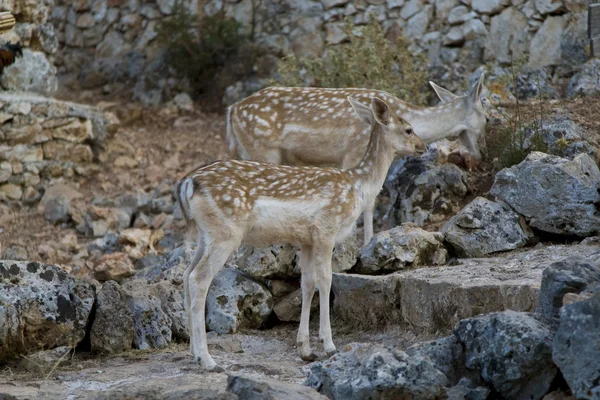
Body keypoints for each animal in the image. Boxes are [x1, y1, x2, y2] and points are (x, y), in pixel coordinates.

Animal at [176, 95, 424, 370]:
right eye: (408, 129)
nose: (422, 146)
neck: (357, 186)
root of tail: (187, 184)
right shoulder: (326, 228)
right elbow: (326, 280)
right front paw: (329, 345)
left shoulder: (306, 239)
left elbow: (307, 283)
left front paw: (305, 349)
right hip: (225, 232)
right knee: (199, 278)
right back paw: (208, 359)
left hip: (205, 234)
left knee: (186, 274)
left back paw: (192, 352)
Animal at [225, 73, 488, 245]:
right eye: (487, 117)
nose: (479, 156)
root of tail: (232, 110)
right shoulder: (353, 151)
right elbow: (368, 200)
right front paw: (363, 242)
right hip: (263, 147)